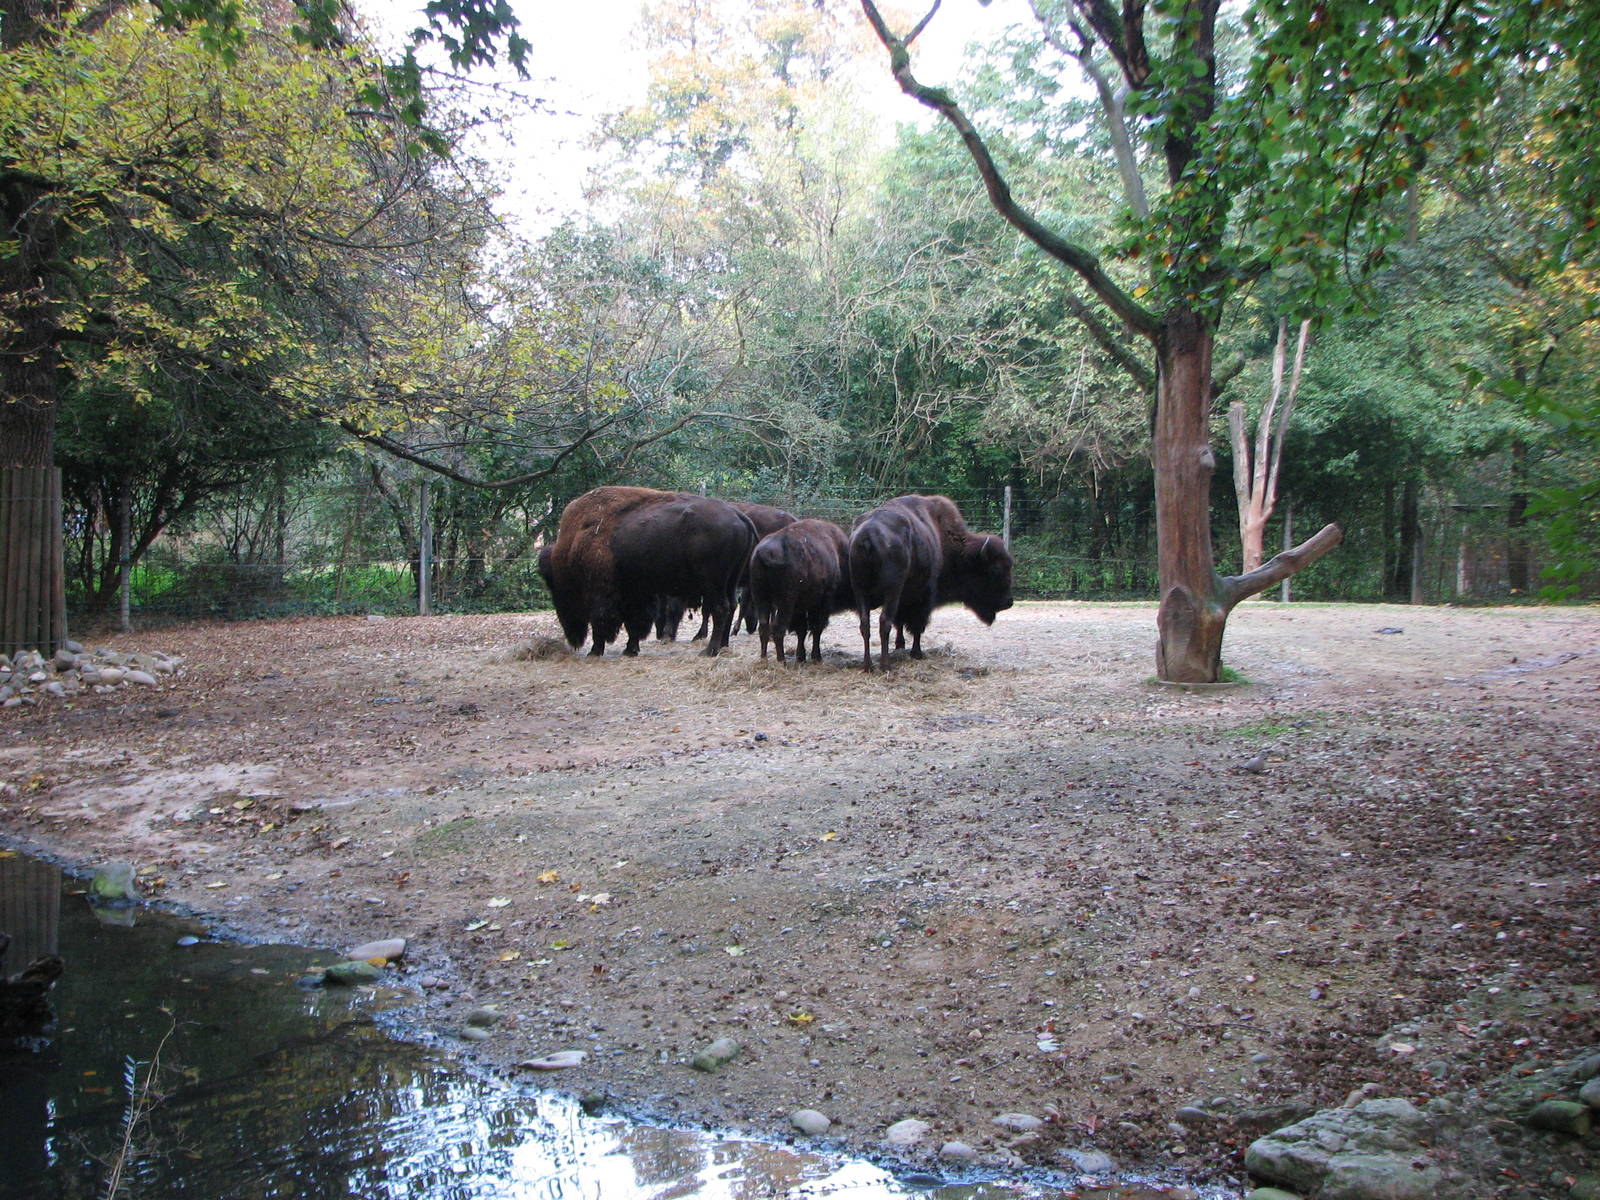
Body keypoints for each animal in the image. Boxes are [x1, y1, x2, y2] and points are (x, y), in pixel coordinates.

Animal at [538, 486, 757, 656]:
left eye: (558, 591)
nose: (573, 639)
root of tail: (739, 515)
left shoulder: (603, 593)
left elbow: (602, 619)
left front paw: (595, 651)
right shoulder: (636, 592)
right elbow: (634, 621)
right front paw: (630, 650)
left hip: (713, 582)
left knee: (720, 608)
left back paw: (709, 650)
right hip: (730, 580)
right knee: (731, 606)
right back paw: (723, 646)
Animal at [748, 518, 853, 663]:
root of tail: (765, 552)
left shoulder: (801, 606)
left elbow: (802, 630)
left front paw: (801, 657)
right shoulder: (822, 601)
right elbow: (816, 628)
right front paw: (816, 657)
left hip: (761, 597)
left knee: (764, 627)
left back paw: (764, 659)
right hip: (785, 601)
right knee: (778, 628)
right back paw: (782, 661)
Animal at [848, 494, 1013, 670]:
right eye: (995, 570)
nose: (1008, 602)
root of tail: (867, 536)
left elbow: (901, 622)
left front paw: (900, 645)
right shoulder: (925, 595)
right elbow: (917, 624)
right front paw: (917, 653)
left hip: (860, 590)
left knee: (865, 623)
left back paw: (868, 665)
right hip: (891, 591)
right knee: (885, 621)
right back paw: (885, 664)